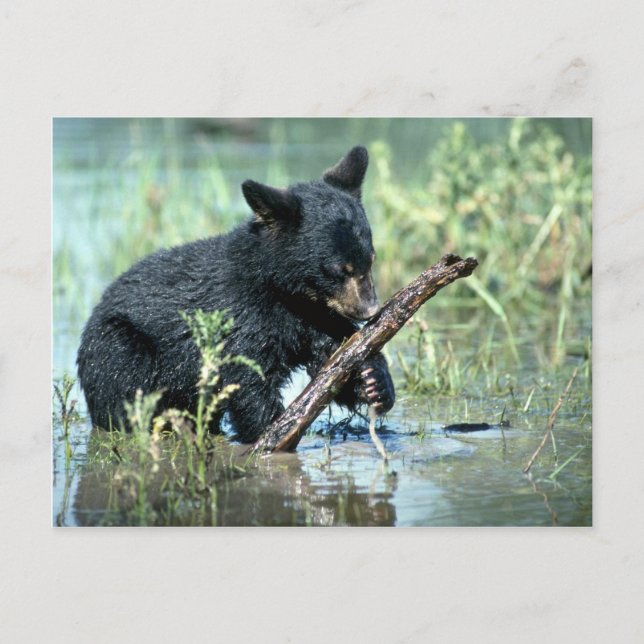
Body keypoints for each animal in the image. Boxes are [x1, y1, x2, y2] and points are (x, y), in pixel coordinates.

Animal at [77, 145, 395, 443]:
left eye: (371, 261)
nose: (370, 309)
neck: (282, 292)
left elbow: (332, 356)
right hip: (117, 347)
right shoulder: (242, 313)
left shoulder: (312, 316)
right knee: (127, 384)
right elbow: (247, 376)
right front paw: (273, 431)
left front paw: (373, 381)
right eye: (340, 269)